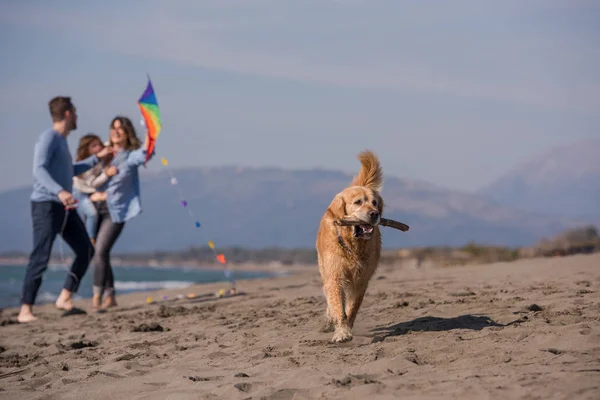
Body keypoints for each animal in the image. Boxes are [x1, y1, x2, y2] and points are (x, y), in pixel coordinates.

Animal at [314, 150, 384, 344]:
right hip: (324, 269)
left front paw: (346, 327)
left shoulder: (361, 280)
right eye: (358, 202)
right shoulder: (335, 274)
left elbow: (352, 308)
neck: (353, 246)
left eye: (374, 202)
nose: (374, 213)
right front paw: (342, 332)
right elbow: (338, 305)